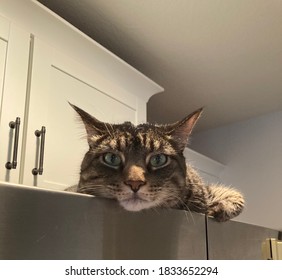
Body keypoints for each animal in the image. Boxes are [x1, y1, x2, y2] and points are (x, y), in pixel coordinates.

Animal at [66, 103, 245, 221]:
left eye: (158, 159)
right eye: (111, 158)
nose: (135, 183)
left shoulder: (206, 189)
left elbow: (238, 197)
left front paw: (217, 209)